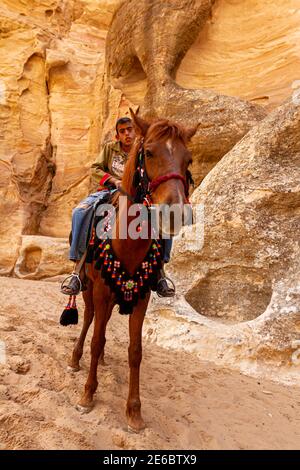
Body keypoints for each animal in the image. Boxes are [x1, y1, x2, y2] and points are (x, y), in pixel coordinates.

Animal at [68, 111, 197, 434]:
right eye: (149, 152)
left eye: (188, 159)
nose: (176, 211)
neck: (127, 241)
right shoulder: (101, 293)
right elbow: (96, 339)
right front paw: (87, 395)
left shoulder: (141, 299)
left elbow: (135, 351)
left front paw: (134, 412)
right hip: (88, 289)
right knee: (89, 322)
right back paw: (76, 359)